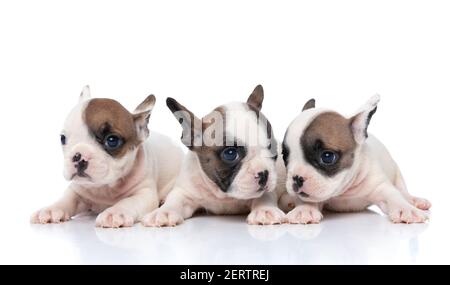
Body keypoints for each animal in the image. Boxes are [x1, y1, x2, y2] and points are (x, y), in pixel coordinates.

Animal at [30, 85, 184, 227]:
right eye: (63, 138)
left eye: (112, 140)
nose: (78, 155)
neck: (105, 188)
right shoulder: (77, 189)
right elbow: (67, 198)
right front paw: (51, 209)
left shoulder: (144, 193)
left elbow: (128, 201)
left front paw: (115, 212)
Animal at [142, 84, 286, 226]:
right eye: (230, 154)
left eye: (272, 148)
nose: (264, 173)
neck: (224, 196)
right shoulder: (185, 192)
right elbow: (175, 200)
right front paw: (163, 212)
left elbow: (265, 196)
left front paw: (265, 210)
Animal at [282, 95, 432, 224]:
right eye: (285, 156)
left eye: (327, 157)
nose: (297, 178)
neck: (345, 191)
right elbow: (307, 199)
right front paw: (304, 209)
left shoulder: (379, 186)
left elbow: (393, 196)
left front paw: (406, 209)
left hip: (397, 174)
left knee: (402, 190)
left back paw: (414, 200)